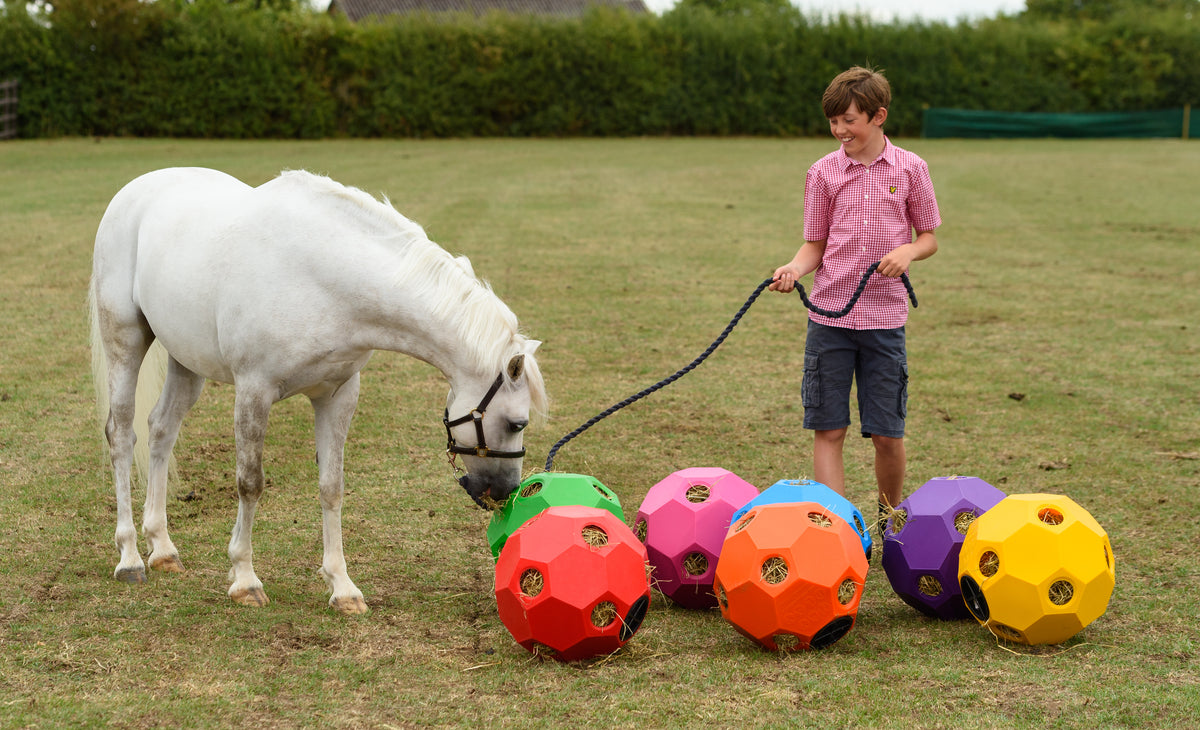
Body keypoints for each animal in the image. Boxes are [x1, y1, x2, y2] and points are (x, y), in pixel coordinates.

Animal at [88, 168, 549, 612]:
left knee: (161, 429)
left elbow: (332, 487)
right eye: (517, 422)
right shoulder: (254, 391)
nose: (506, 493)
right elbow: (250, 482)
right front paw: (245, 579)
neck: (324, 278)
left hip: (187, 362)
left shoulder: (337, 396)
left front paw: (343, 588)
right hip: (125, 341)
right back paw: (130, 557)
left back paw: (163, 548)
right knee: (122, 434)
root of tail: (136, 189)